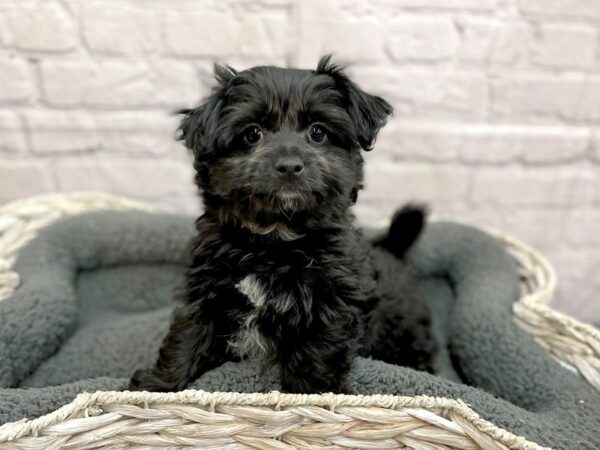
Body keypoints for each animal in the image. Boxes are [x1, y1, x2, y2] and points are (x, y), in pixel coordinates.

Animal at [129, 57, 434, 394]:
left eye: (317, 132)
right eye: (252, 133)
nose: (289, 166)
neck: (274, 239)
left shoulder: (330, 303)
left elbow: (316, 354)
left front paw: (313, 395)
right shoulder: (206, 288)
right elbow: (187, 335)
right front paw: (157, 385)